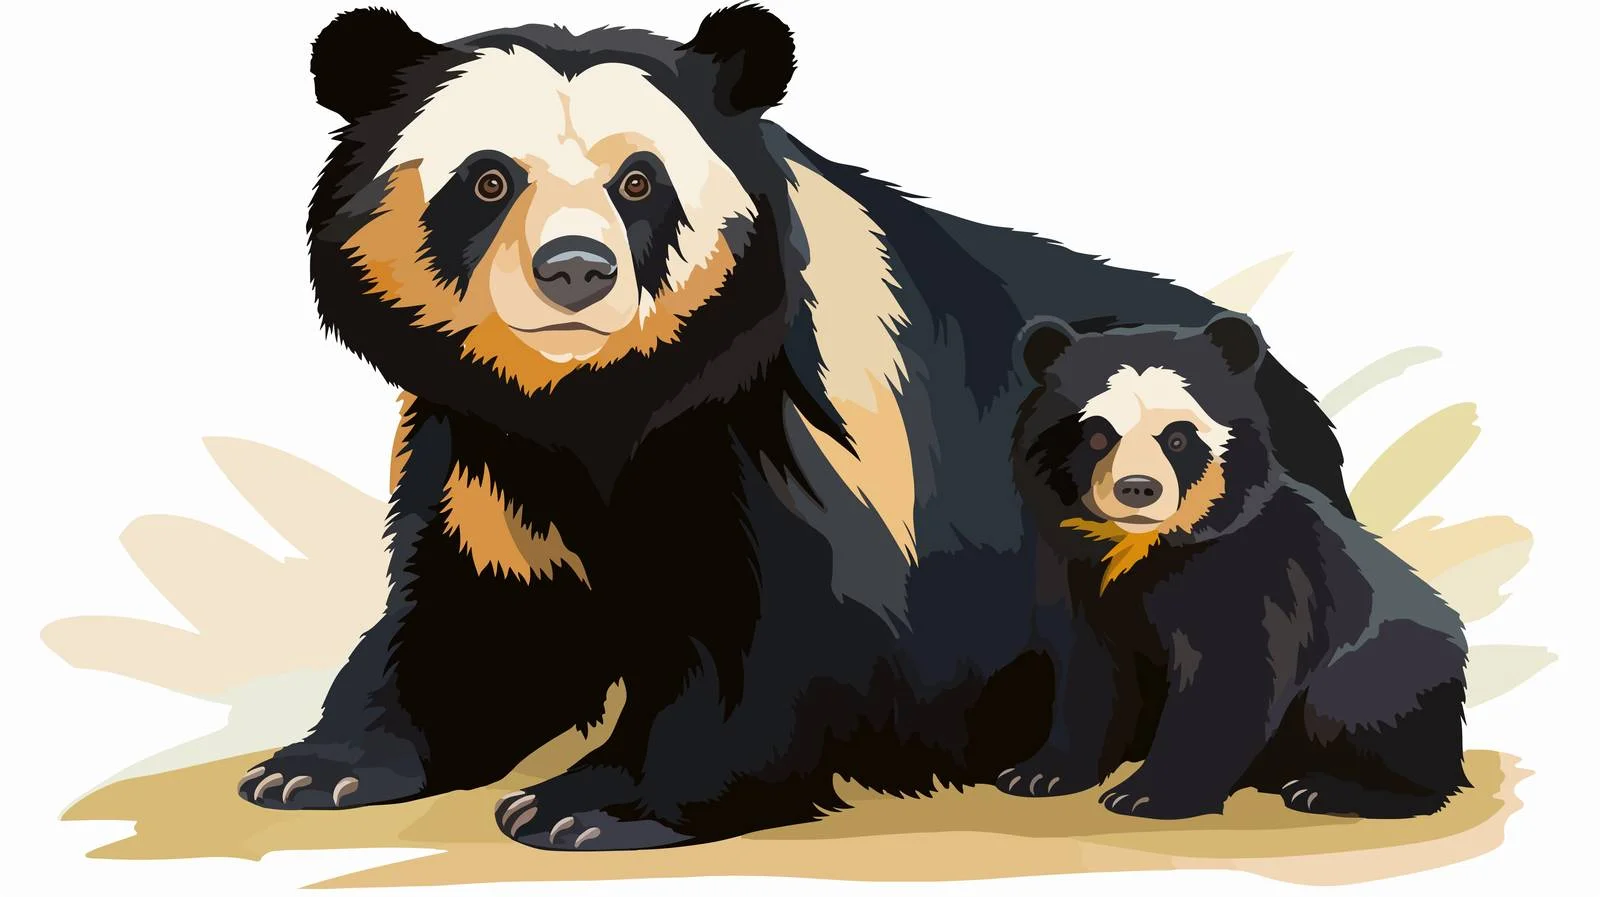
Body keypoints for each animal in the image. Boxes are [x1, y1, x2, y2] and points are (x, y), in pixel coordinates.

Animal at [236, 5, 1350, 850]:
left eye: (638, 182)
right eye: (487, 178)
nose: (575, 271)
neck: (592, 395)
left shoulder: (786, 422)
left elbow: (768, 628)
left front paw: (590, 806)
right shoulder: (480, 440)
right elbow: (479, 611)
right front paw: (318, 768)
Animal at [1006, 312, 1470, 819]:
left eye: (1177, 437)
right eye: (1096, 434)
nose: (1137, 489)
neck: (1140, 547)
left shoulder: (1252, 569)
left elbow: (1229, 671)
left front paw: (1148, 793)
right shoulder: (1073, 567)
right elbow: (1086, 669)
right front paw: (1037, 774)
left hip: (1395, 667)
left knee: (1360, 705)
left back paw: (1327, 790)